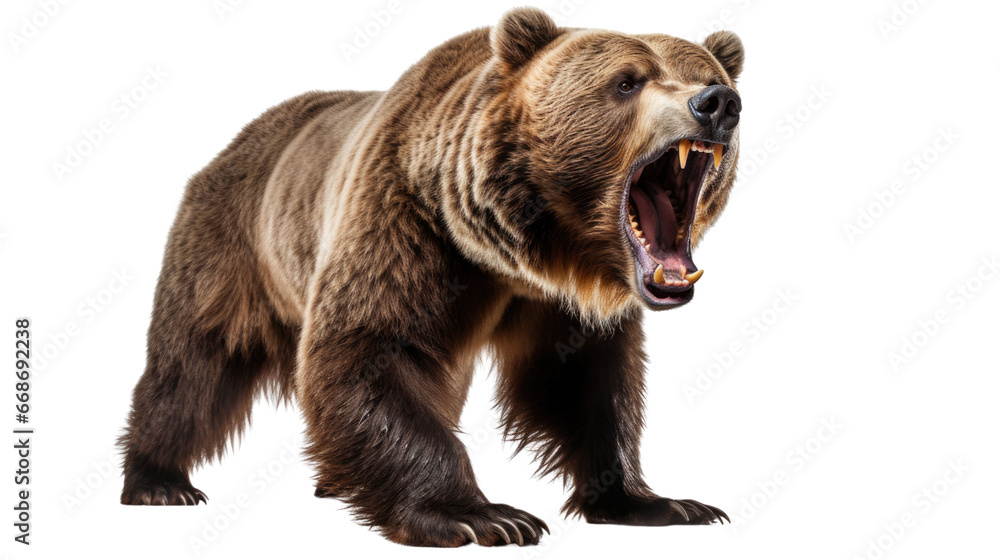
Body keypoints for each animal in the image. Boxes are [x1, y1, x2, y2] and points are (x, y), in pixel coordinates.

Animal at [118, 7, 744, 547]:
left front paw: (661, 502)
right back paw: (159, 481)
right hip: (228, 251)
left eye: (704, 74)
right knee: (191, 372)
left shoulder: (563, 305)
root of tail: (228, 146)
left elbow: (588, 381)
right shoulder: (406, 227)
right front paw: (484, 516)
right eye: (627, 82)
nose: (717, 103)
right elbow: (368, 352)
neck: (523, 255)